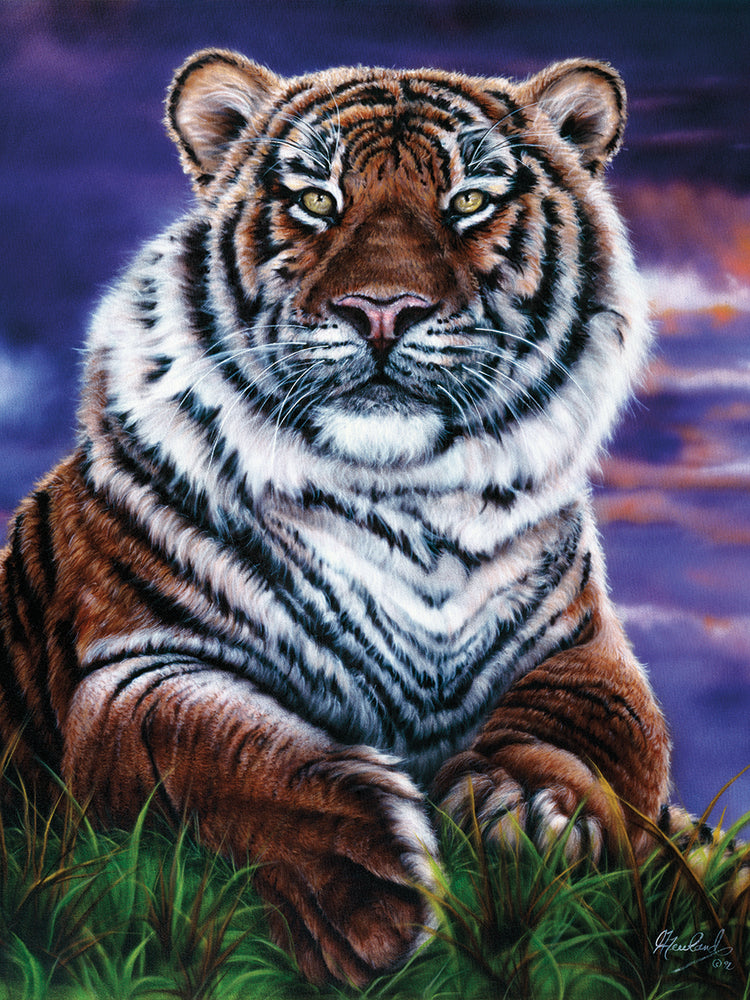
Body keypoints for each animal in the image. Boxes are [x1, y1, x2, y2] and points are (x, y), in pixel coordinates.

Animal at [0, 49, 676, 984]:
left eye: (470, 200)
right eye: (318, 200)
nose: (382, 309)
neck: (407, 500)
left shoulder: (585, 642)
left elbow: (599, 725)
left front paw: (531, 811)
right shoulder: (133, 666)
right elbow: (206, 744)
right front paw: (362, 893)